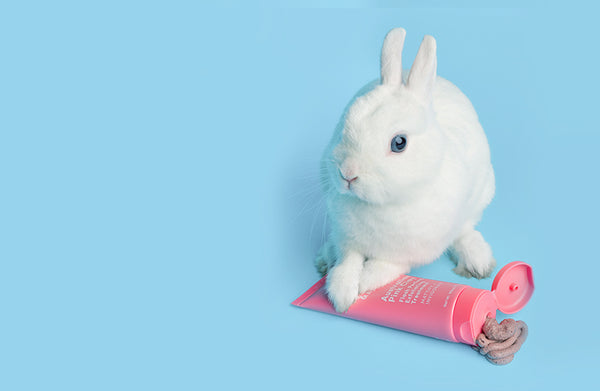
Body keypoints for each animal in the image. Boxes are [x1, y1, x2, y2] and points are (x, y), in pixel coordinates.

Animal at [318, 28, 496, 312]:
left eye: (399, 143)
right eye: (344, 123)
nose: (347, 174)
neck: (381, 205)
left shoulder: (405, 255)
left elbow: (384, 267)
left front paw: (363, 284)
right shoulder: (346, 239)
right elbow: (347, 262)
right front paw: (342, 293)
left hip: (481, 194)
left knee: (465, 230)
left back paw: (477, 262)